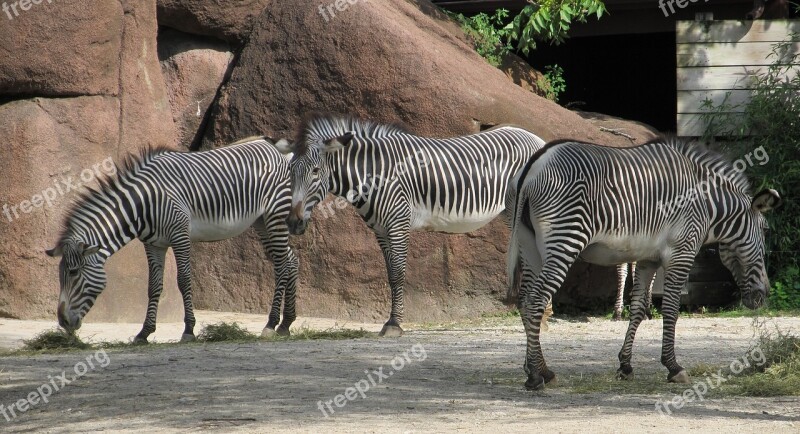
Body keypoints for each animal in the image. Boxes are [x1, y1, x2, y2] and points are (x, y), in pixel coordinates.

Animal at [45, 137, 298, 344]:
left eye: (74, 273)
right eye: (59, 274)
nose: (63, 321)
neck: (143, 203)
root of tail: (275, 149)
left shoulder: (180, 235)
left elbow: (184, 280)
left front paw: (188, 330)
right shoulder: (154, 244)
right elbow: (154, 286)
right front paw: (144, 332)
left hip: (274, 215)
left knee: (282, 265)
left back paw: (271, 324)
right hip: (261, 222)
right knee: (290, 260)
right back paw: (286, 324)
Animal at [274, 113, 544, 338]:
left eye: (316, 171)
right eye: (290, 170)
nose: (293, 223)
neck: (375, 174)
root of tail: (535, 137)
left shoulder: (398, 223)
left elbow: (398, 273)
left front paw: (394, 324)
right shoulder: (381, 231)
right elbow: (390, 275)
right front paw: (391, 321)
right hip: (513, 213)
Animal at [510, 138, 780, 390]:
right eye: (766, 231)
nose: (763, 295)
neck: (707, 205)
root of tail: (536, 164)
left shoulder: (647, 259)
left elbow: (639, 308)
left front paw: (625, 366)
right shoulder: (681, 253)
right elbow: (671, 310)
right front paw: (673, 367)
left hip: (530, 246)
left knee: (524, 300)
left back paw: (539, 369)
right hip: (564, 240)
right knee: (536, 300)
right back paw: (536, 376)